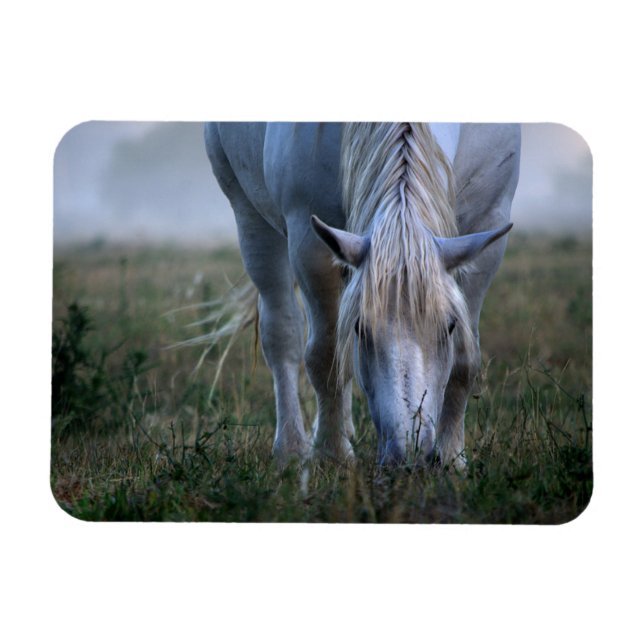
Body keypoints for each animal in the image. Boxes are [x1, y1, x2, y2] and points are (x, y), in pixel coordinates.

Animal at [204, 123, 520, 467]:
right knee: (282, 333)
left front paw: (451, 459)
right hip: (251, 219)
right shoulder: (308, 240)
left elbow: (465, 360)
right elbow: (326, 354)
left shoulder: (488, 225)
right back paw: (292, 449)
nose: (408, 454)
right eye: (361, 328)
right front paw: (332, 455)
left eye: (449, 326)